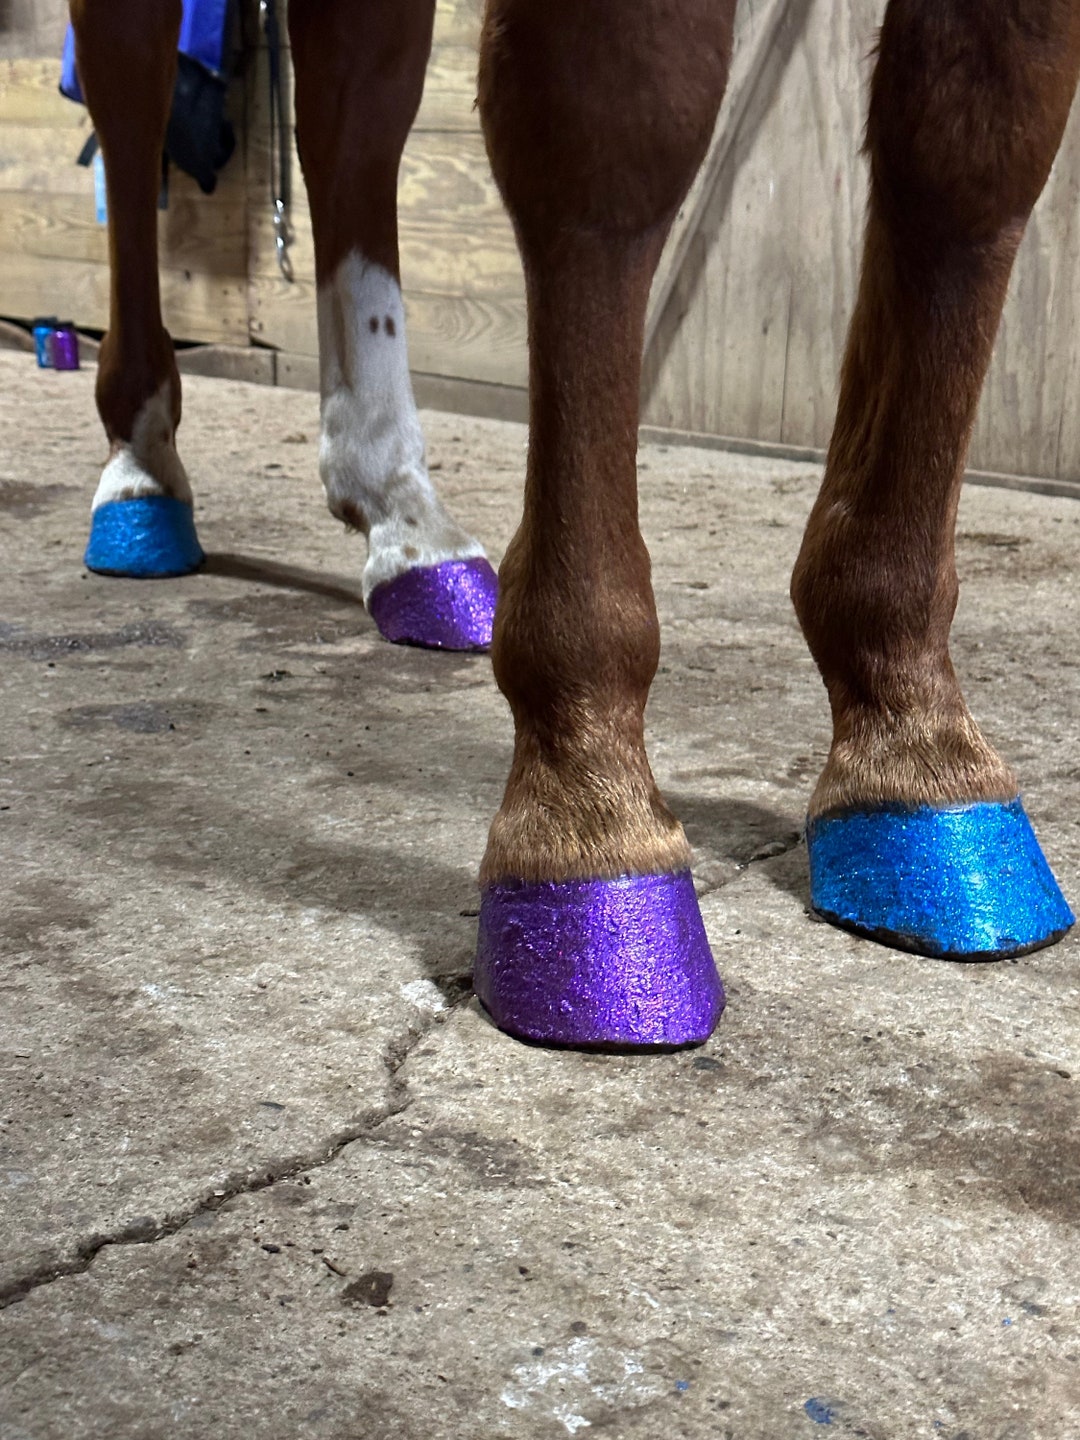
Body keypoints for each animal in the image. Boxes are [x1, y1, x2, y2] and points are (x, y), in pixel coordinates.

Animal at [66, 0, 1080, 1049]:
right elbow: (614, 127)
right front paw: (592, 845)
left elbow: (974, 144)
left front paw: (921, 765)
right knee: (131, 95)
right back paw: (143, 471)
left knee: (352, 121)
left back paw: (403, 522)